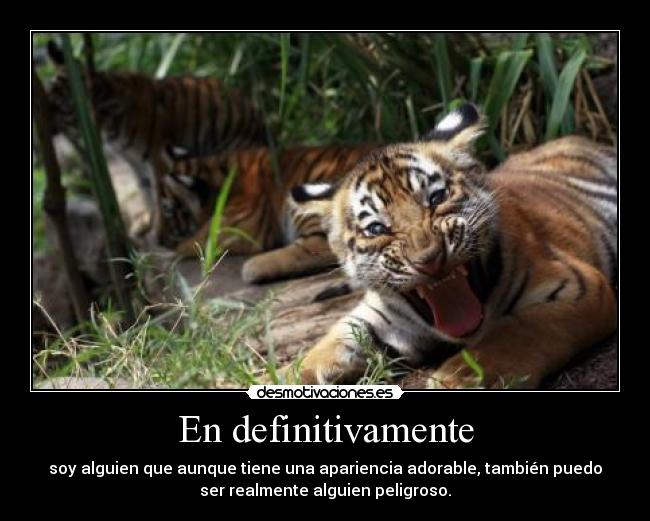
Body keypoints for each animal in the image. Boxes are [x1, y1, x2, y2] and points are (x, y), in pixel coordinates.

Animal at [44, 41, 266, 240]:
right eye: (47, 99)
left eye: (60, 107)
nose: (43, 122)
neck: (108, 123)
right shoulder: (135, 162)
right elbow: (146, 192)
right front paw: (145, 223)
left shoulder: (157, 157)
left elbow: (159, 195)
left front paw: (159, 229)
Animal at [157, 143, 378, 282]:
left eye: (167, 211)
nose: (160, 239)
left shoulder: (238, 228)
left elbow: (189, 244)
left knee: (318, 248)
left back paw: (253, 268)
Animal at [288, 103, 618, 389]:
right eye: (377, 229)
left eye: (437, 198)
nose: (429, 259)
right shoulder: (380, 315)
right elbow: (326, 345)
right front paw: (286, 375)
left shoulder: (578, 287)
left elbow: (516, 331)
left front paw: (461, 377)